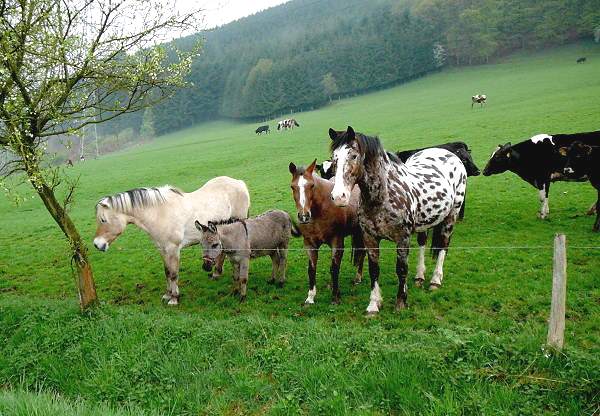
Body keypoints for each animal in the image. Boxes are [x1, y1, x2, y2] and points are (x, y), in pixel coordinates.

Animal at [93, 176, 251, 306]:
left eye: (103, 220)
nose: (97, 244)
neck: (159, 213)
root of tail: (239, 183)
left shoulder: (173, 249)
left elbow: (174, 273)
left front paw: (174, 298)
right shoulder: (162, 249)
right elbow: (167, 272)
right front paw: (167, 295)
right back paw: (216, 273)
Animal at [330, 127, 466, 316]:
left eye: (353, 156)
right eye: (334, 158)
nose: (338, 197)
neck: (383, 195)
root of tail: (449, 154)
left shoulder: (402, 238)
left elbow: (401, 269)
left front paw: (401, 302)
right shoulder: (370, 238)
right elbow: (374, 270)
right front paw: (373, 304)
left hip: (451, 216)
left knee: (443, 246)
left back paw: (435, 281)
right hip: (424, 223)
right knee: (423, 243)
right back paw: (419, 277)